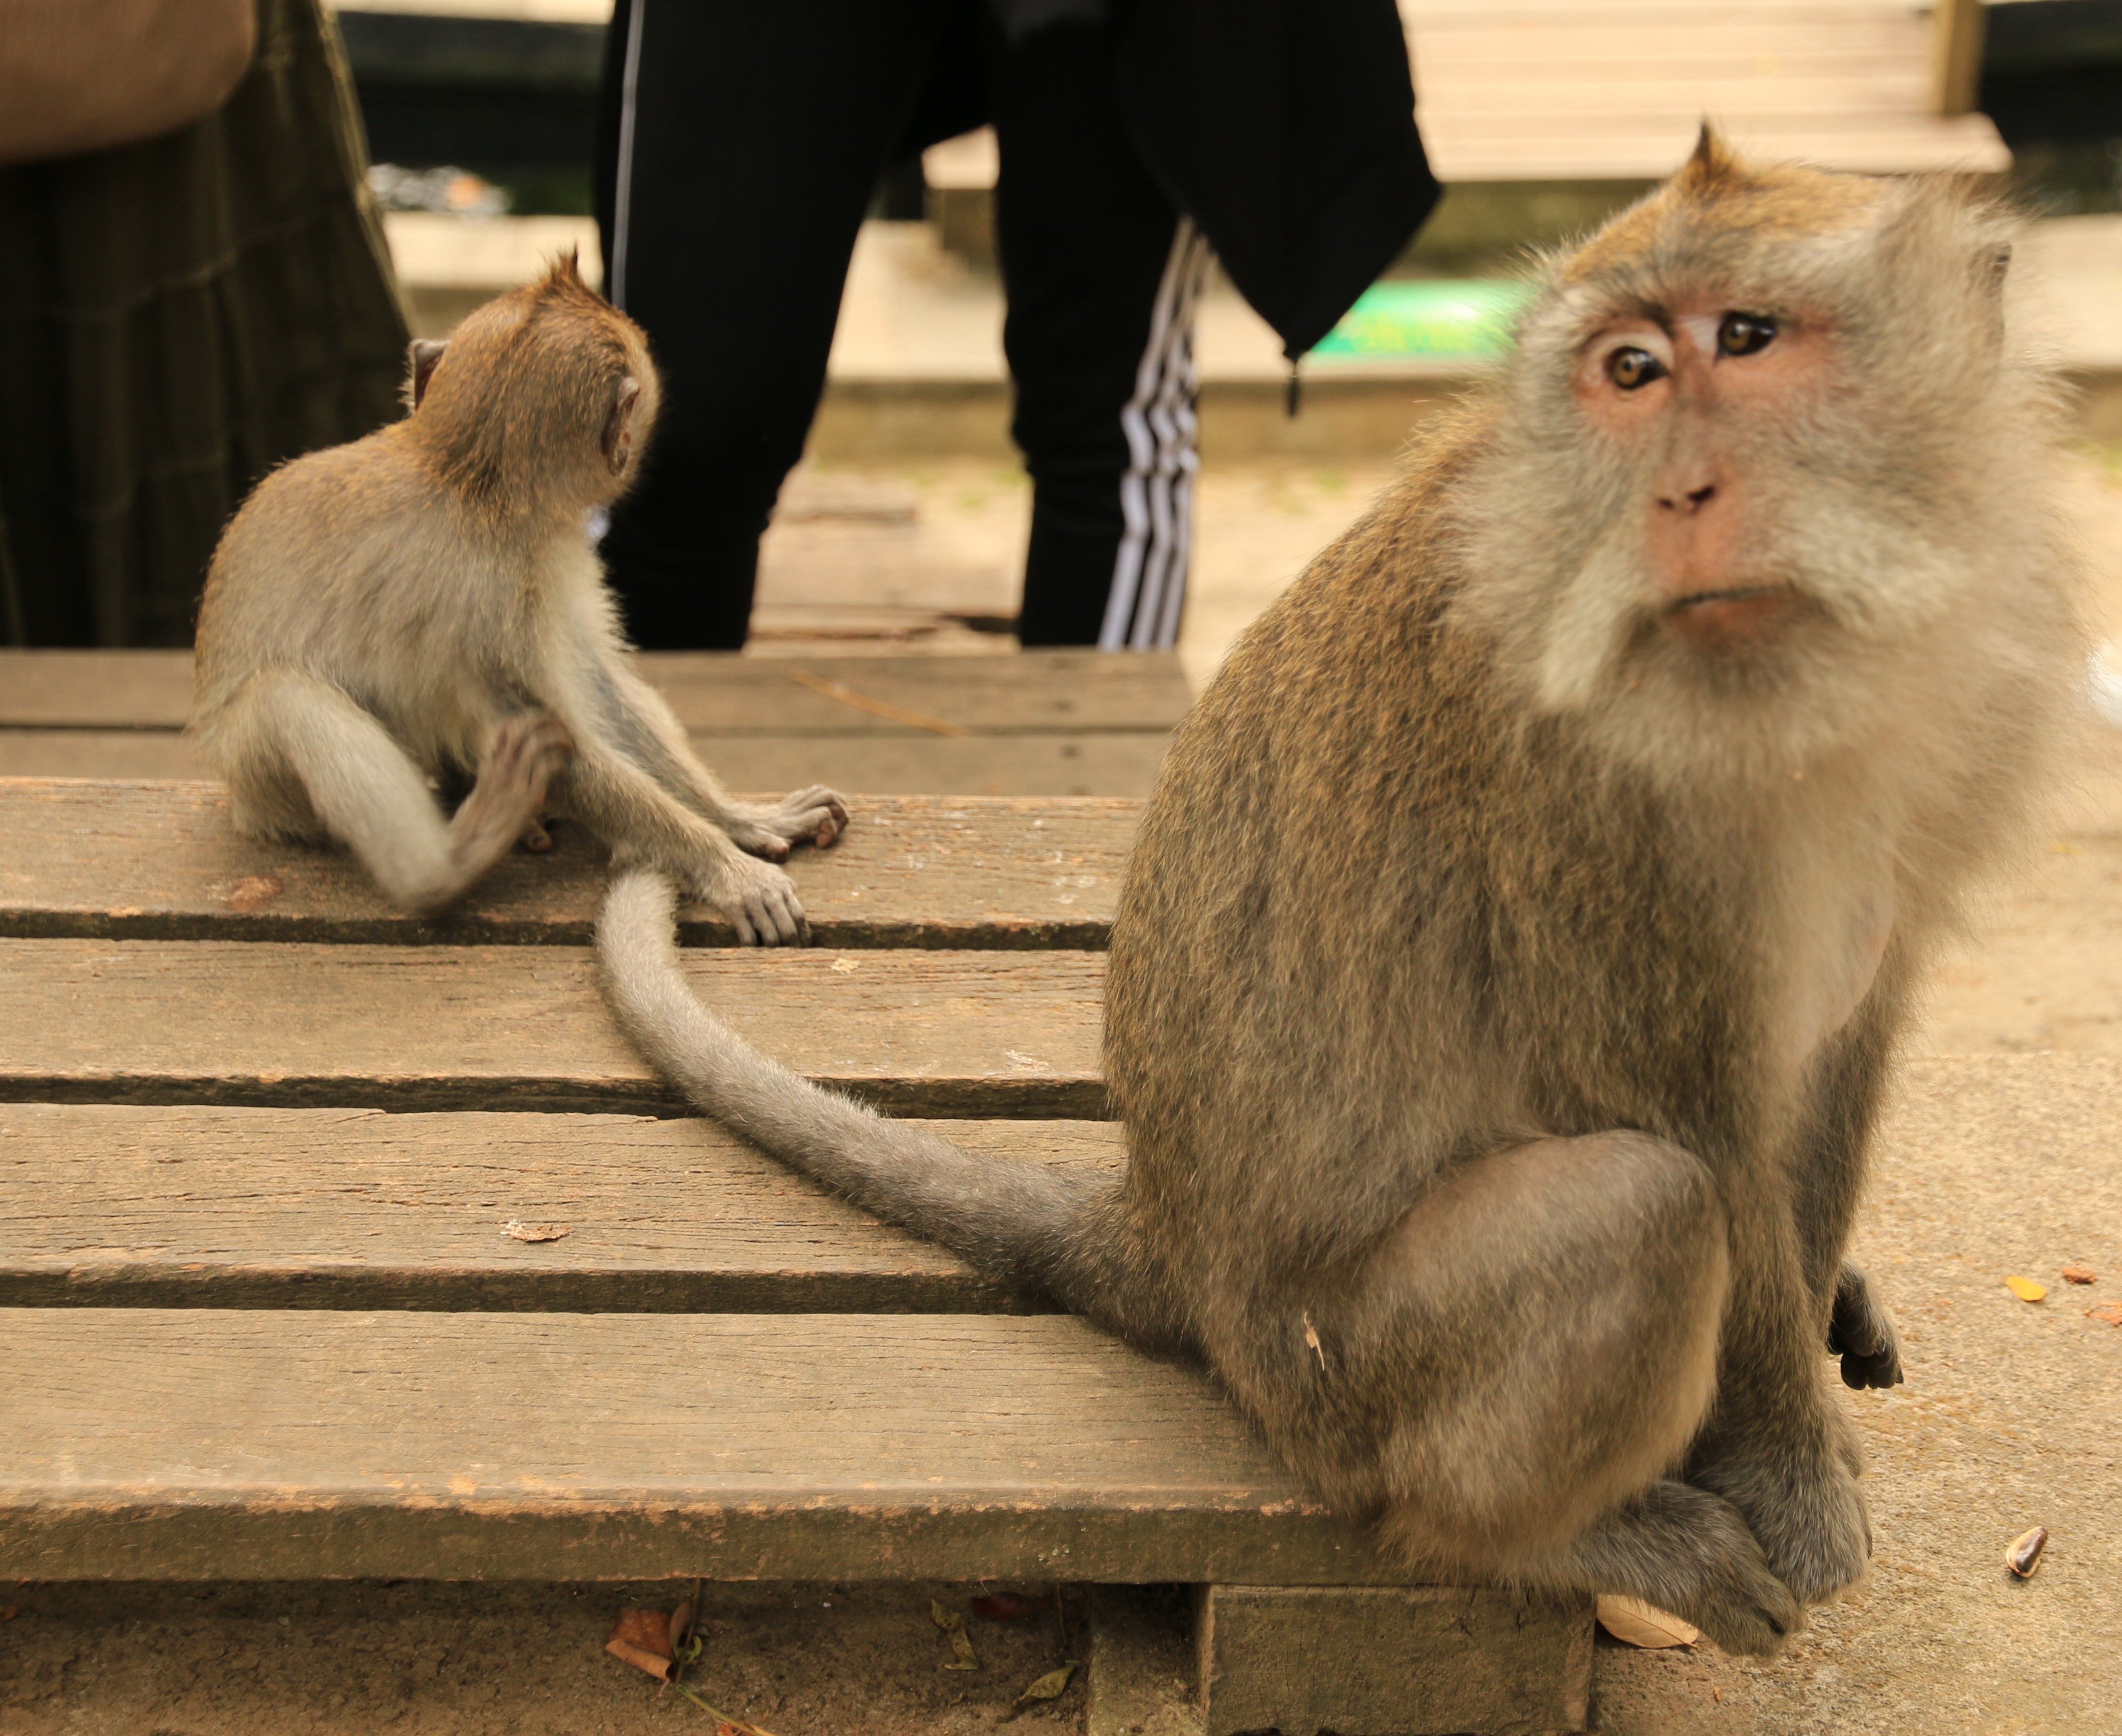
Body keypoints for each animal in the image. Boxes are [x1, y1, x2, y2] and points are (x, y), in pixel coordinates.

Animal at [191, 254, 846, 942]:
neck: (472, 478)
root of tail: (243, 803)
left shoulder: (545, 566)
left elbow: (594, 684)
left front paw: (740, 817)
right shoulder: (483, 598)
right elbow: (550, 732)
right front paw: (727, 867)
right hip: (255, 772)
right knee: (283, 697)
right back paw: (444, 866)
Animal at [593, 133, 2082, 1651]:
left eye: (1745, 339)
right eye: (1628, 371)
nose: (1679, 498)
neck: (1799, 676)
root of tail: (1165, 1237)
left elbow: (1836, 1059)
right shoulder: (1582, 796)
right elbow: (1694, 1120)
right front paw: (1788, 1473)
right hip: (1339, 1373)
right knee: (1646, 1215)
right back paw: (1552, 1539)